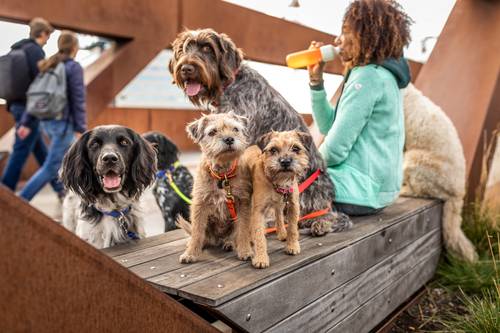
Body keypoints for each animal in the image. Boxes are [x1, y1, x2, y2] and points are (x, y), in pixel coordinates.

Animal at [170, 29, 350, 236]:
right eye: (183, 50)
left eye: (207, 48)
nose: (186, 69)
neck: (231, 84)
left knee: (322, 215)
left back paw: (319, 223)